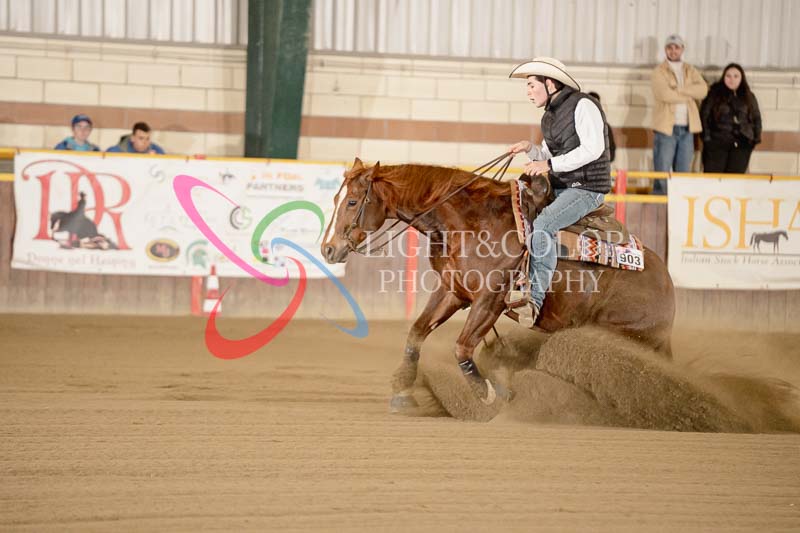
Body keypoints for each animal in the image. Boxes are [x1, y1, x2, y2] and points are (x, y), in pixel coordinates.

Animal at [322, 158, 675, 410]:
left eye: (352, 202)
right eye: (337, 198)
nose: (328, 249)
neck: (468, 223)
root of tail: (665, 283)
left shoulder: (490, 301)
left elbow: (462, 347)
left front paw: (493, 395)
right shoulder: (453, 291)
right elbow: (417, 333)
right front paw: (403, 391)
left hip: (625, 334)